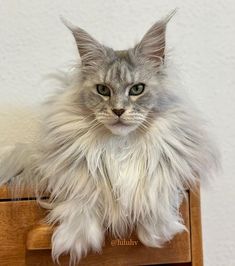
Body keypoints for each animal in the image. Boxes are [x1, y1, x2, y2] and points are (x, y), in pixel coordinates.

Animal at [0, 11, 218, 264]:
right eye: (103, 90)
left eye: (137, 89)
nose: (118, 110)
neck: (120, 145)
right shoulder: (75, 171)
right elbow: (82, 196)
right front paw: (71, 243)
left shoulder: (169, 166)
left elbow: (154, 190)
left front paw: (157, 232)